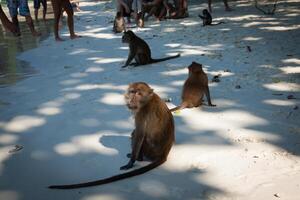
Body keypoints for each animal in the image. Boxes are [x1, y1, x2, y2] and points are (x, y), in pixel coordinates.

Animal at [48, 82, 176, 190]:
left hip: (149, 150)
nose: (132, 100)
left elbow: (139, 135)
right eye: (132, 92)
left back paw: (138, 158)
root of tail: (164, 154)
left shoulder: (142, 113)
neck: (147, 101)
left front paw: (131, 162)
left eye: (139, 94)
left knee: (135, 133)